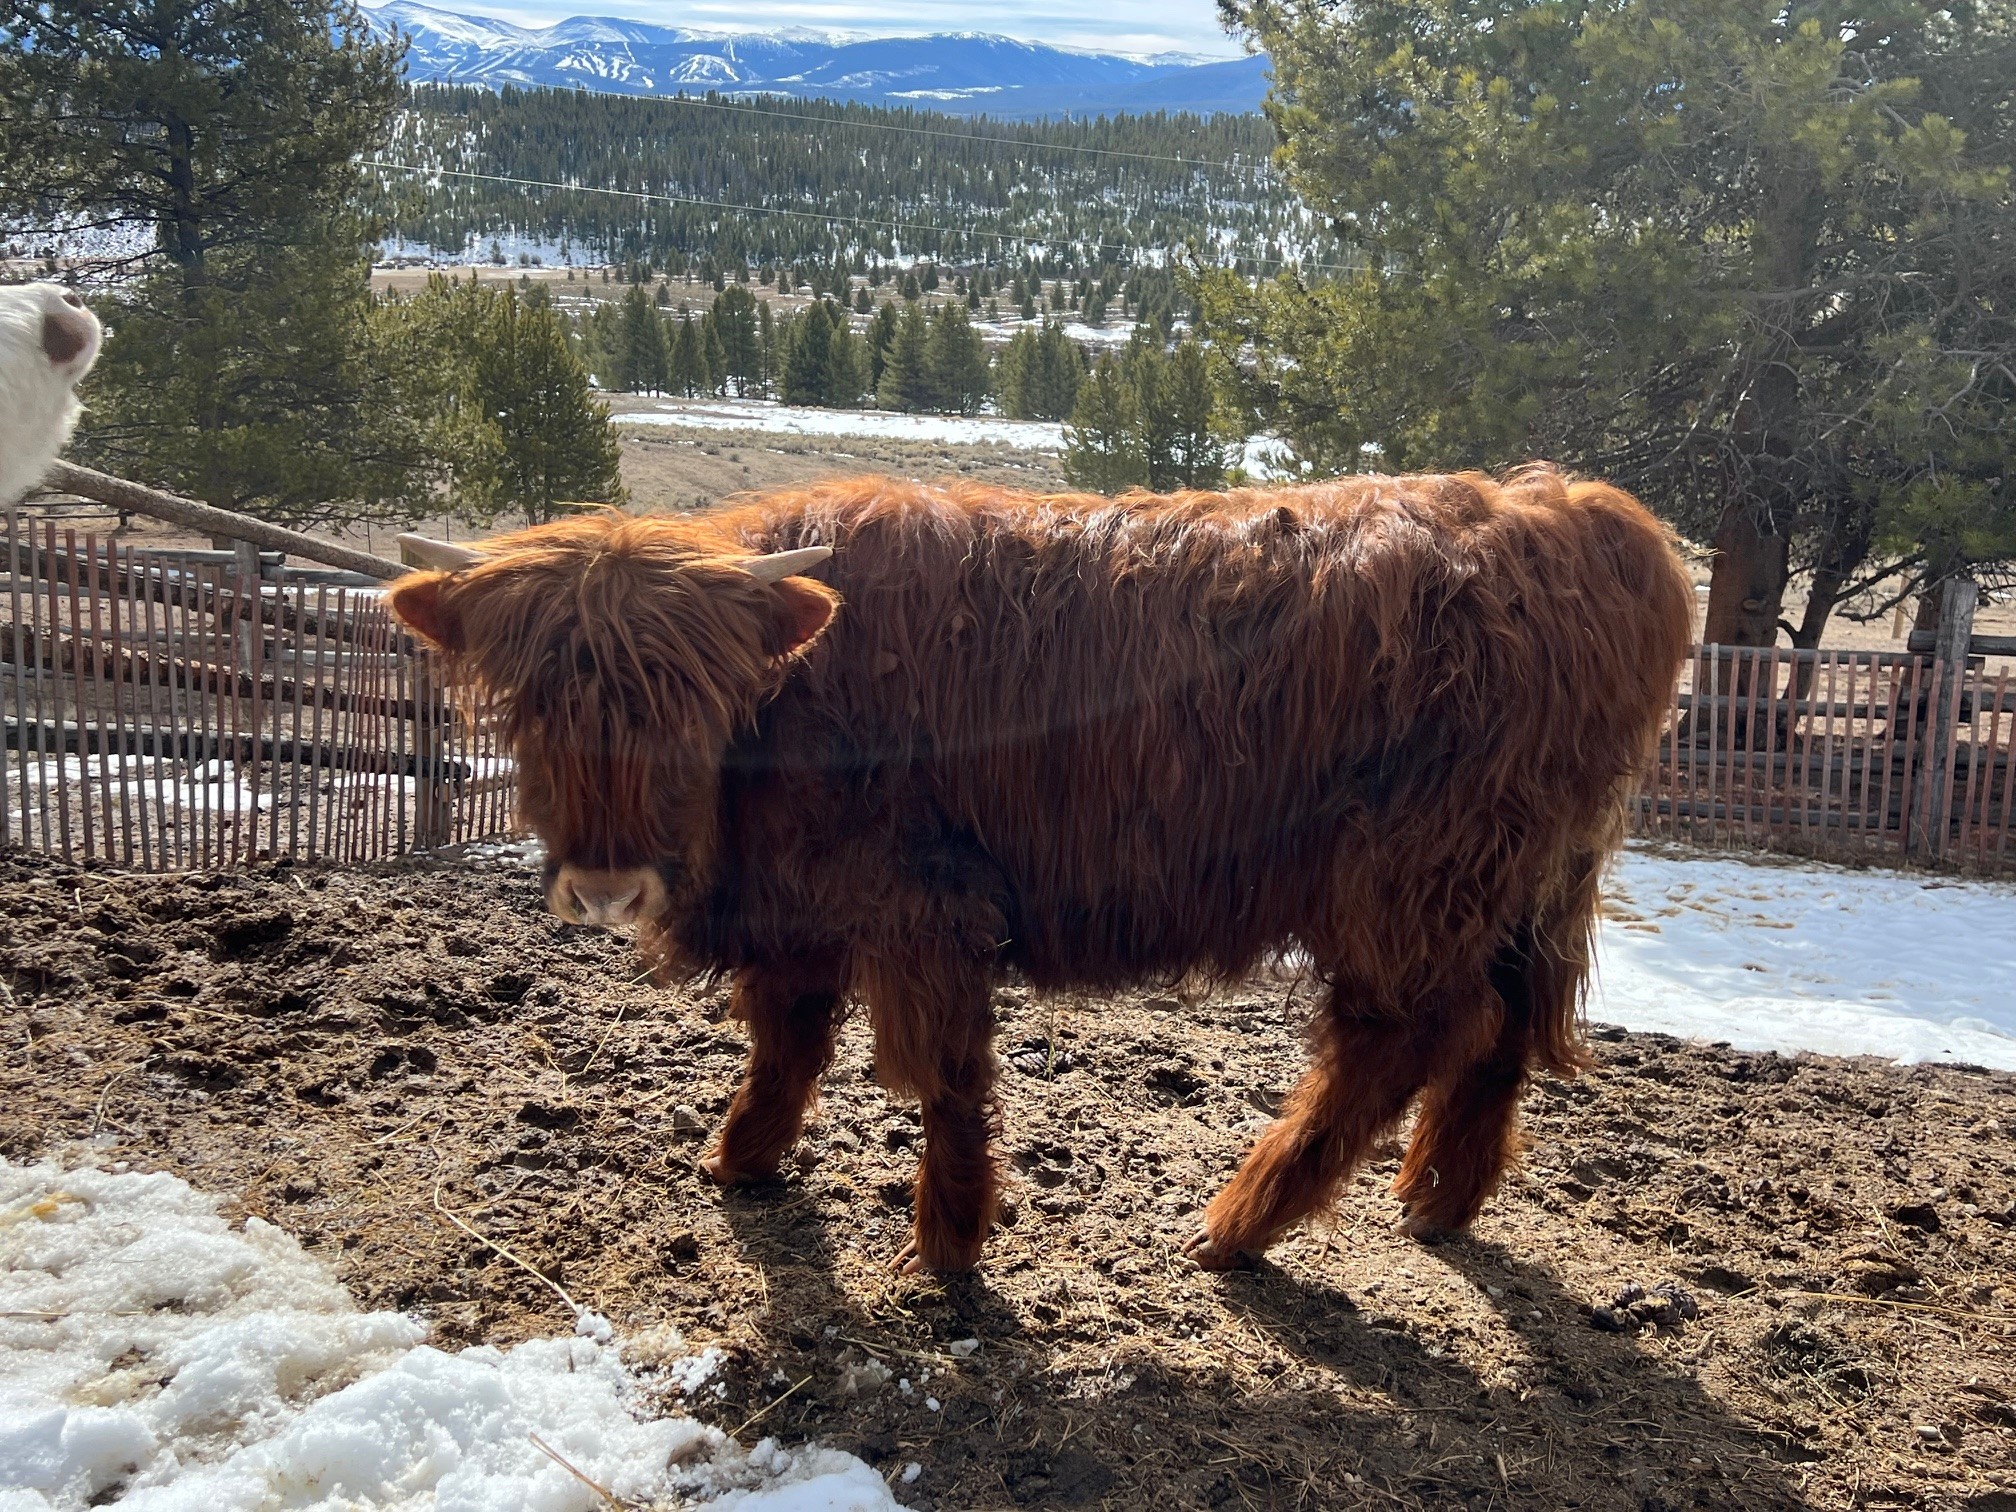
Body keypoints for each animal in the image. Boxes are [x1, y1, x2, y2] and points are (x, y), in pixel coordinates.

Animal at [389, 468, 1692, 1274]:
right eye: (534, 706)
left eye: (686, 703)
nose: (609, 887)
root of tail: (1574, 511)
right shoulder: (801, 908)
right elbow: (787, 1040)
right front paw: (743, 1158)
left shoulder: (924, 901)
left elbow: (942, 1074)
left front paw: (950, 1243)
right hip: (1523, 877)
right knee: (1505, 1026)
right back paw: (1437, 1199)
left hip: (1411, 873)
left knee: (1405, 1032)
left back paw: (1238, 1224)